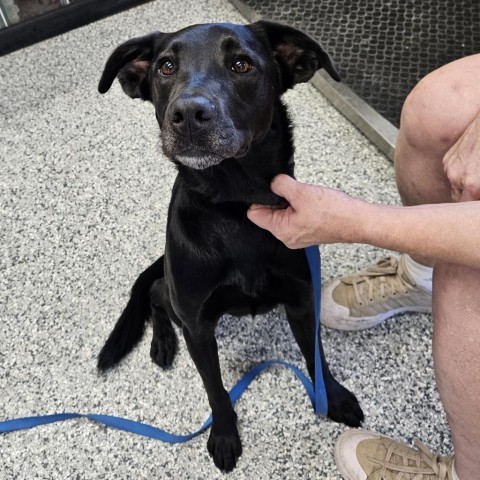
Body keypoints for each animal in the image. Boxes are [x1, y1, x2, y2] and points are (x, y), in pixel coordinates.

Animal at [96, 20, 360, 470]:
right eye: (166, 66)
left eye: (241, 64)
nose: (187, 115)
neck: (235, 207)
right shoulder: (199, 327)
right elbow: (215, 390)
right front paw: (223, 434)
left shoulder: (302, 300)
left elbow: (317, 356)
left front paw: (335, 397)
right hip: (176, 296)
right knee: (156, 293)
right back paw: (162, 341)